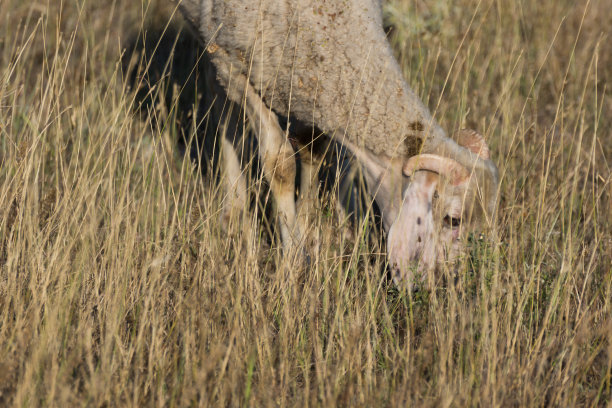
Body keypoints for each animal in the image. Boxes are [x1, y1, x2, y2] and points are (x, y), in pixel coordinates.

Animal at [175, 0, 500, 290]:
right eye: (453, 220)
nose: (451, 284)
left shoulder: (311, 89)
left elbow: (313, 151)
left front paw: (311, 234)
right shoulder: (236, 69)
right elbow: (280, 164)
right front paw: (295, 257)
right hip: (213, 48)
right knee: (221, 104)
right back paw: (232, 211)